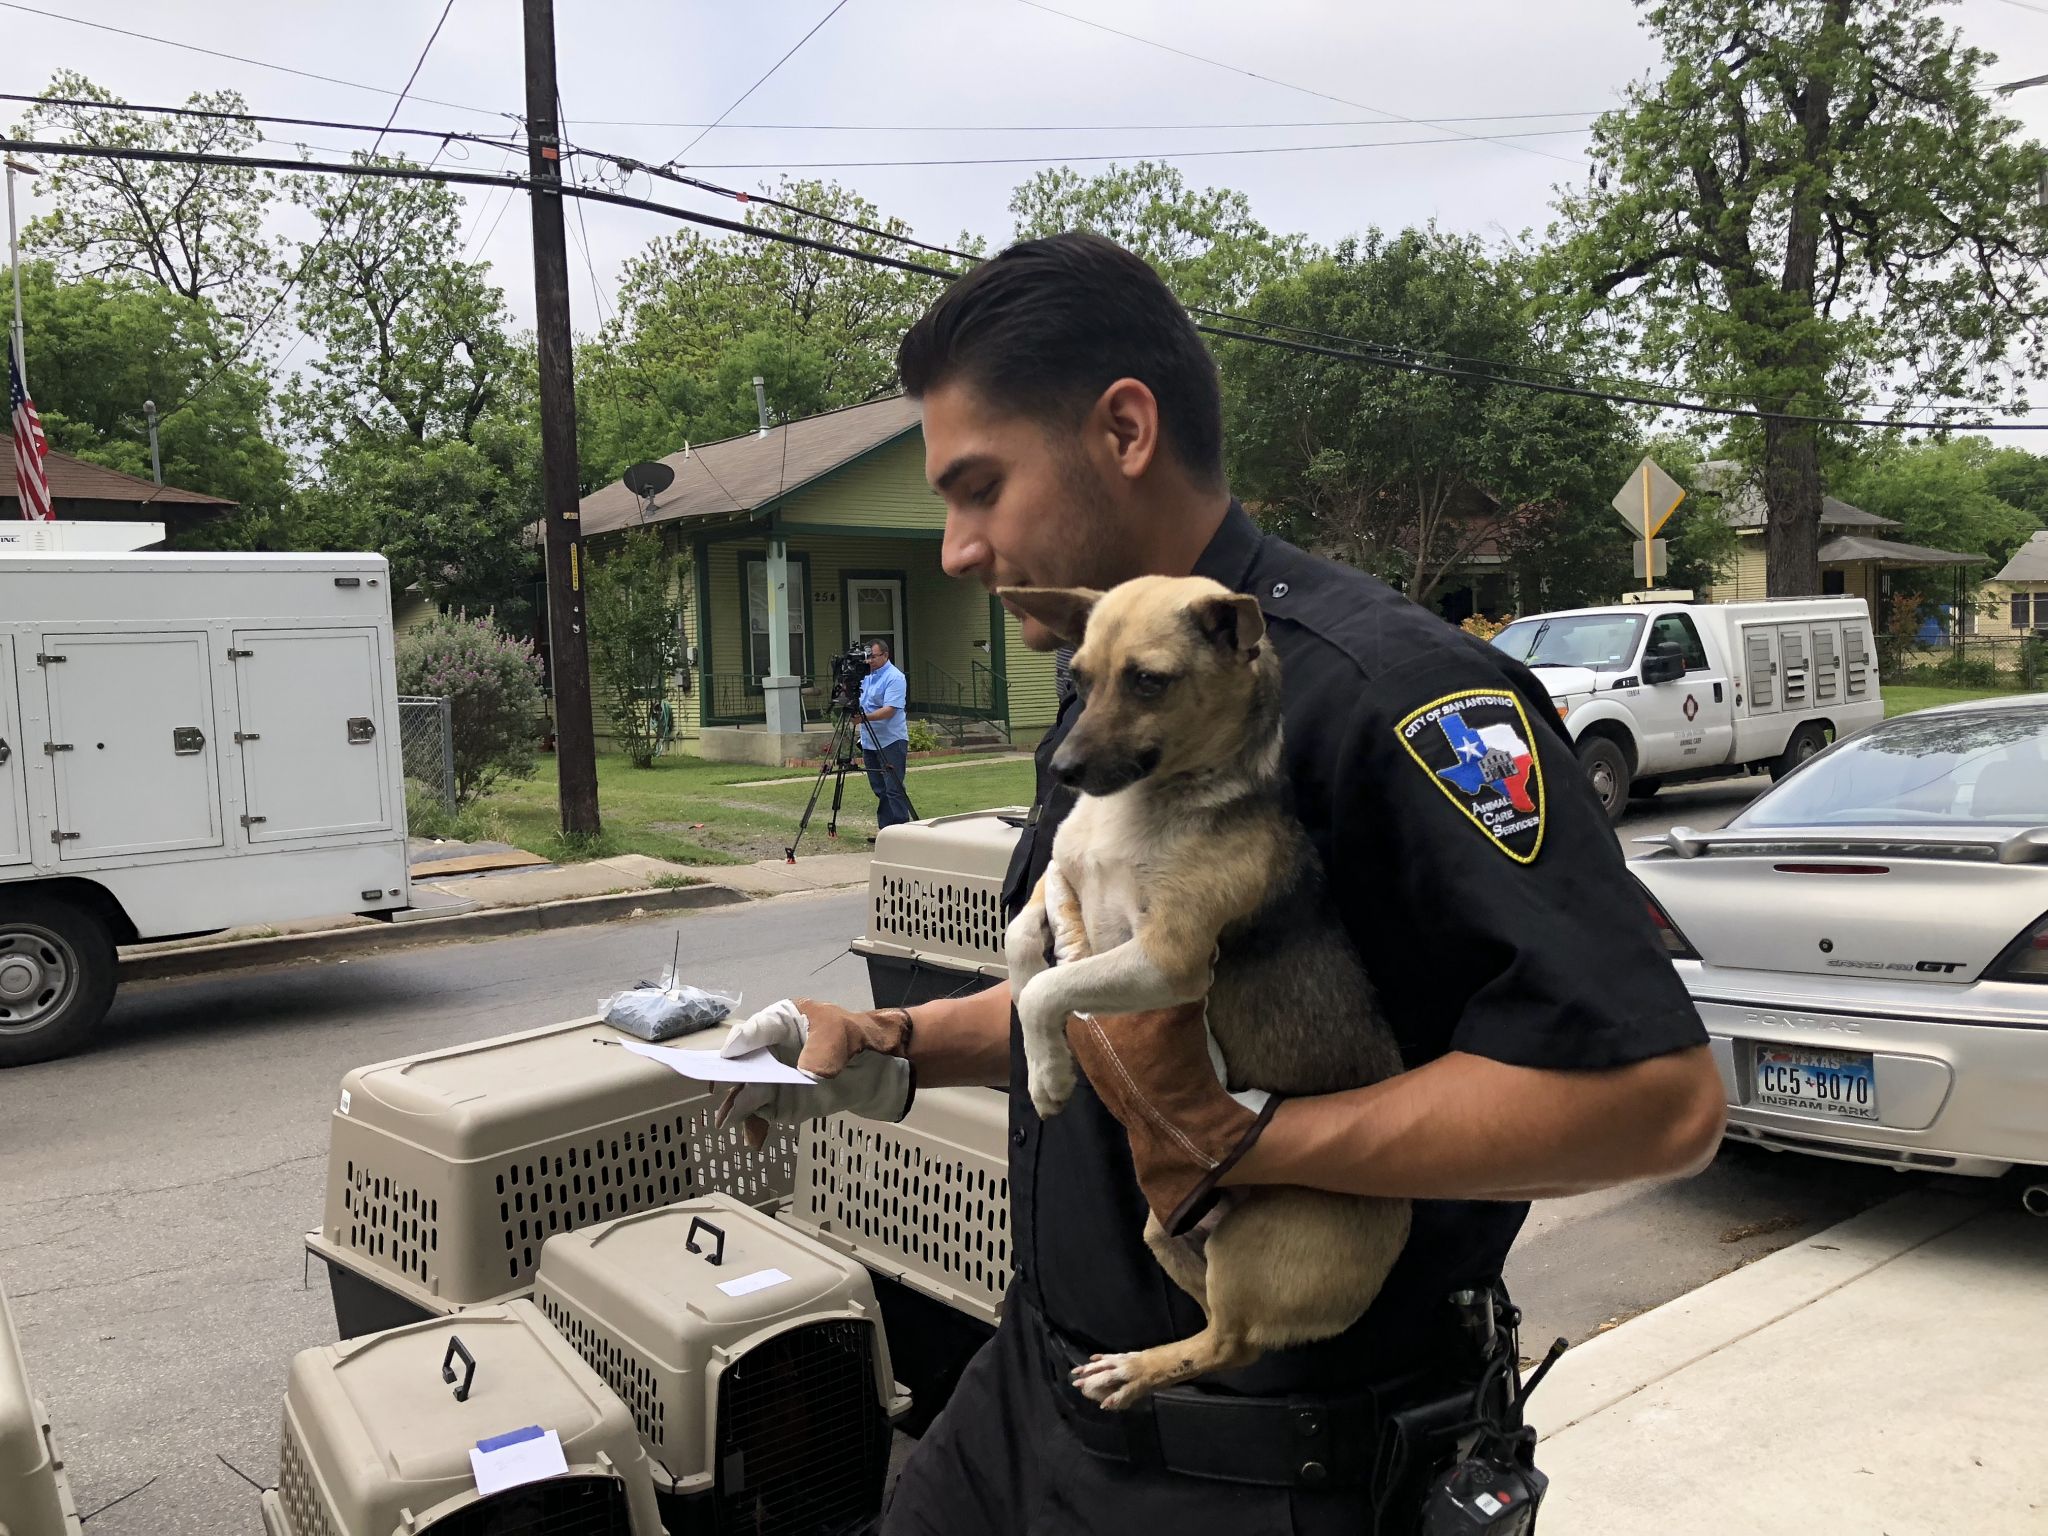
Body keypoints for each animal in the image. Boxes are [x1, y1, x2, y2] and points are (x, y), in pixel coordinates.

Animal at [1003, 581, 1409, 1417]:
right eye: (1078, 680)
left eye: (1148, 682)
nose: (1062, 768)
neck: (1141, 806)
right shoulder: (1060, 884)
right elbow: (1023, 944)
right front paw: (1040, 1051)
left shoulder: (1168, 961)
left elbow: (1054, 986)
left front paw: (1050, 1072)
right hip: (1173, 1227)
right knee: (1209, 1307)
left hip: (1255, 1249)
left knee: (1233, 1338)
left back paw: (1135, 1369)